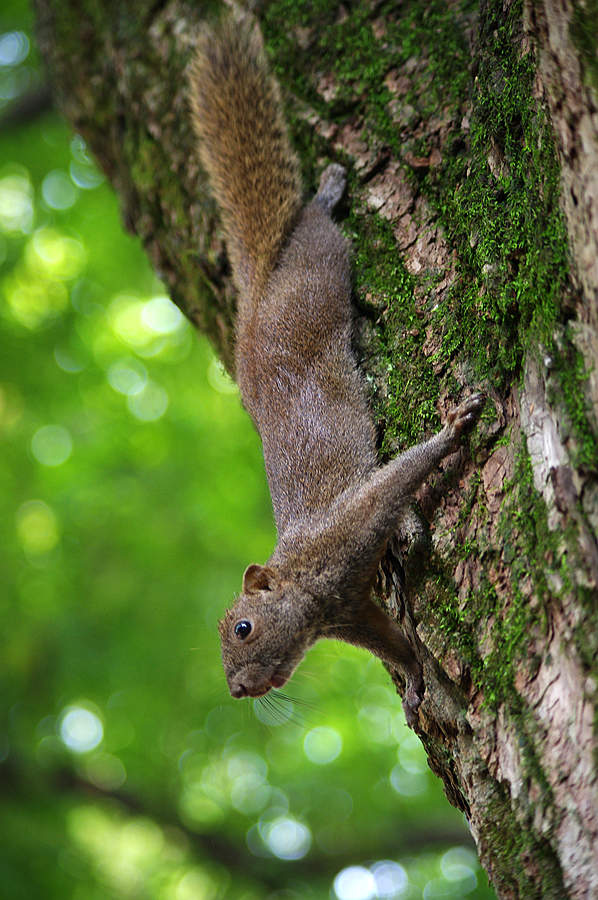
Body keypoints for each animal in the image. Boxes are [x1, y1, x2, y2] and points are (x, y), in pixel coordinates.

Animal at [190, 14, 486, 724]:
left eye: (243, 627)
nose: (239, 689)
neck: (307, 583)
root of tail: (254, 301)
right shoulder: (352, 613)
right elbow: (395, 645)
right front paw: (416, 681)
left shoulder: (352, 528)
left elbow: (400, 477)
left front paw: (452, 430)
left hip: (319, 269)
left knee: (315, 224)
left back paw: (326, 190)